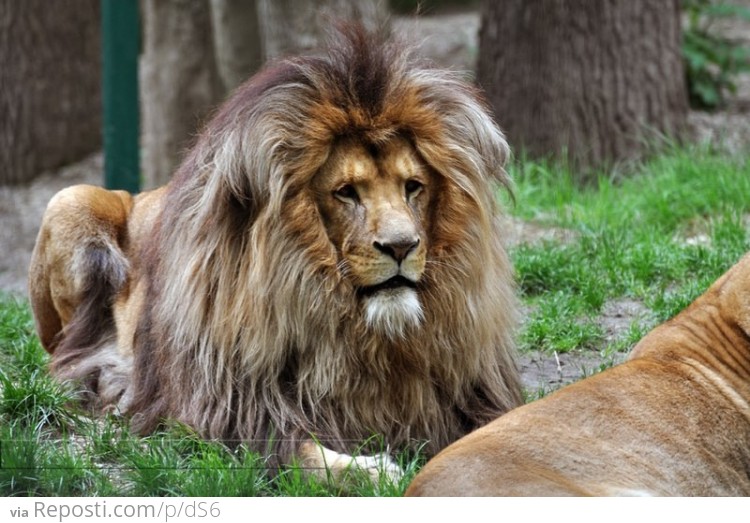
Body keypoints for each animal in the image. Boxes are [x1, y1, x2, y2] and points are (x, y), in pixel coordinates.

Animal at [27, 27, 524, 478]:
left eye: (413, 187)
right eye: (346, 192)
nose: (402, 246)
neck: (362, 339)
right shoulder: (229, 414)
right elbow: (307, 457)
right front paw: (374, 469)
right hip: (71, 199)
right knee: (64, 355)